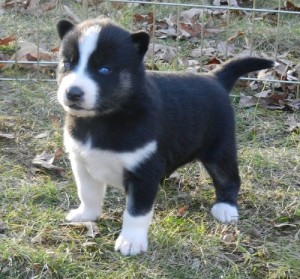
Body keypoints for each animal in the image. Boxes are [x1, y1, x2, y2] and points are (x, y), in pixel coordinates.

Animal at [55, 18, 274, 258]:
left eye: (104, 69)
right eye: (67, 64)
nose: (73, 93)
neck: (103, 119)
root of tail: (215, 78)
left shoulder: (144, 172)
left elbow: (136, 211)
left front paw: (131, 241)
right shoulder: (82, 163)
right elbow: (87, 193)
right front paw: (86, 215)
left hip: (220, 149)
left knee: (229, 178)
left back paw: (226, 208)